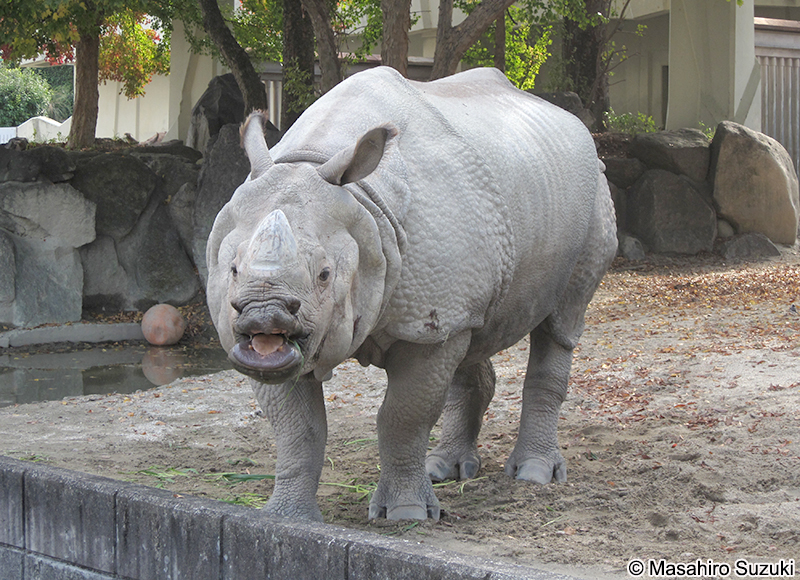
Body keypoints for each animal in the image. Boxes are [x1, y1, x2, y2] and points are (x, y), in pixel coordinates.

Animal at [206, 66, 617, 521]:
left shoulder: (426, 321)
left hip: (594, 194)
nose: (264, 316)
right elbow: (298, 429)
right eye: (233, 269)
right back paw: (445, 470)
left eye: (325, 275)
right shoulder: (267, 349)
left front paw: (406, 514)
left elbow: (404, 416)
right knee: (474, 333)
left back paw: (533, 474)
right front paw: (285, 518)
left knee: (560, 323)